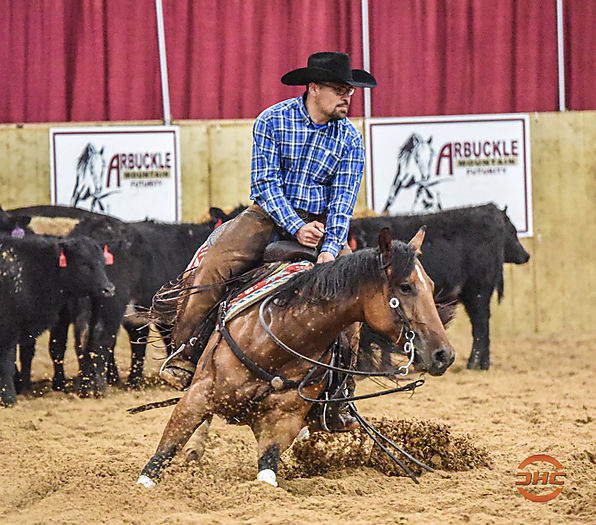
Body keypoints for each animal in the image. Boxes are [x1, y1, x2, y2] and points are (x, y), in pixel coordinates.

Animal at [136, 228, 455, 488]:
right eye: (405, 286)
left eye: (431, 285)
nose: (444, 354)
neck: (279, 340)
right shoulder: (197, 397)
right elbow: (157, 462)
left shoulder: (281, 425)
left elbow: (266, 477)